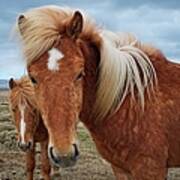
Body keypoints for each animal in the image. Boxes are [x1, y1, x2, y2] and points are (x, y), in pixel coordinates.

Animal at [14, 5, 180, 180]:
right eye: (32, 78)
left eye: (80, 74)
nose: (64, 155)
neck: (131, 103)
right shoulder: (120, 169)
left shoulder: (151, 169)